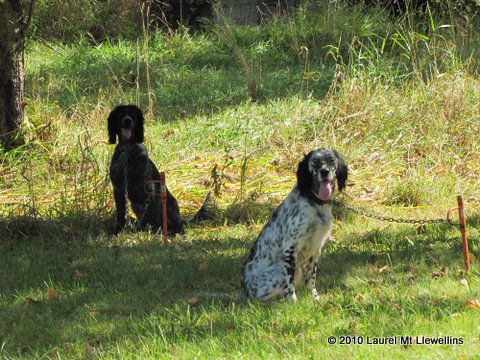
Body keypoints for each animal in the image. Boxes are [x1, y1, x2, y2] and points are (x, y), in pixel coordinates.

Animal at [109, 105, 214, 233]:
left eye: (133, 114)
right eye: (120, 114)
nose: (127, 121)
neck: (127, 152)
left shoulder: (149, 188)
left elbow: (151, 211)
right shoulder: (118, 188)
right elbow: (121, 213)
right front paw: (118, 231)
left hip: (168, 203)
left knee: (174, 223)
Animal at [240, 148, 348, 300]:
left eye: (331, 160)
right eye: (315, 162)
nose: (324, 172)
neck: (314, 202)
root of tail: (245, 291)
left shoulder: (316, 248)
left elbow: (311, 278)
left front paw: (314, 298)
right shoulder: (290, 248)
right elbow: (289, 284)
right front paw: (293, 301)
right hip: (278, 271)